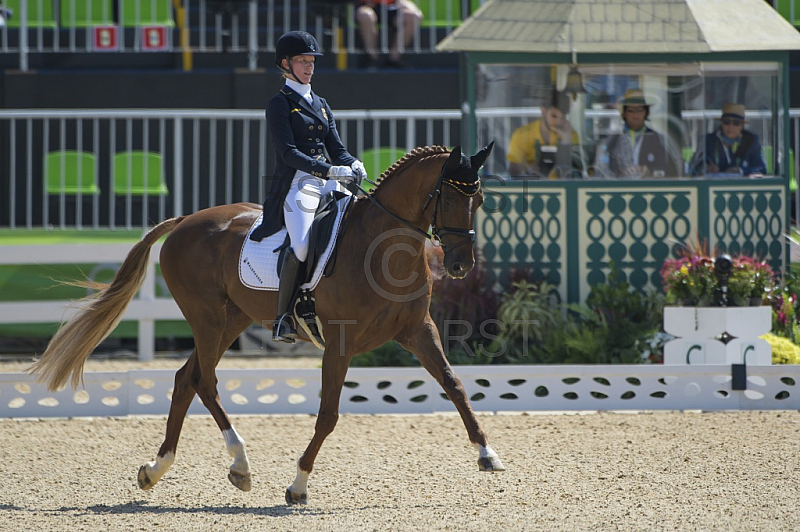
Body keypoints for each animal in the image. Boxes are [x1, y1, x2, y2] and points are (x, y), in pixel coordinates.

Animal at [31, 143, 510, 504]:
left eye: (480, 199)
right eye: (450, 197)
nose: (461, 265)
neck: (381, 247)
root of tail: (186, 220)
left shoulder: (417, 330)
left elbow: (454, 384)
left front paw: (487, 454)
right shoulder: (340, 342)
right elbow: (328, 415)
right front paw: (297, 486)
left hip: (231, 319)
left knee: (186, 379)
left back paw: (156, 469)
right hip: (208, 319)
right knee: (204, 381)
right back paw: (239, 464)